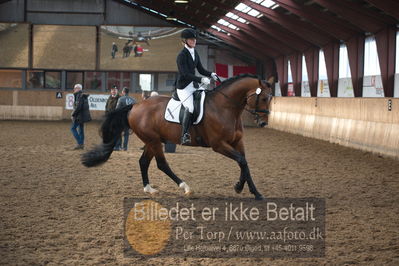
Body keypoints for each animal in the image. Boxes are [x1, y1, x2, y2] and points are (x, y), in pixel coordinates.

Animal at [81, 73, 276, 200]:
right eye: (264, 98)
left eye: (271, 98)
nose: (263, 123)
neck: (225, 107)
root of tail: (135, 106)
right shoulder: (219, 144)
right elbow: (241, 161)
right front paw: (242, 188)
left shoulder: (237, 142)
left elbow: (244, 162)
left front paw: (251, 190)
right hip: (153, 140)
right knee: (161, 164)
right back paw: (185, 187)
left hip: (153, 141)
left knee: (143, 162)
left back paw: (149, 189)